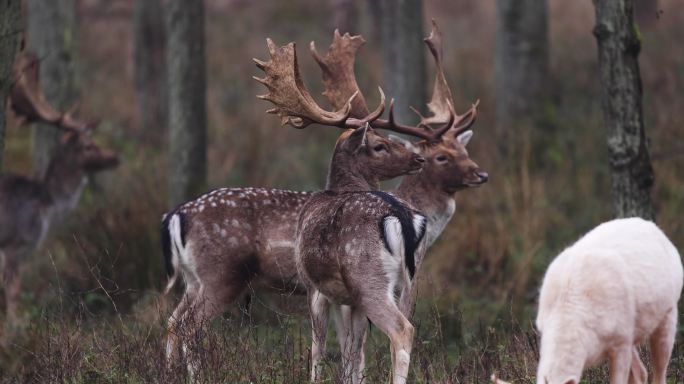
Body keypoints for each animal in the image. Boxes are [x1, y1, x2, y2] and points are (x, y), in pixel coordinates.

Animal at [0, 53, 119, 324]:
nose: (115, 157)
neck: (46, 206)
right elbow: (12, 292)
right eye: (87, 145)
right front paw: (15, 325)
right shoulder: (14, 243)